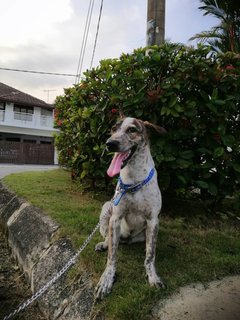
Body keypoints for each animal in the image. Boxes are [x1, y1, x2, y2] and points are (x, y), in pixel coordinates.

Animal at [94, 117, 166, 300]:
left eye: (132, 130)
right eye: (113, 128)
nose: (110, 144)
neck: (134, 180)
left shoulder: (153, 221)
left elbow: (150, 255)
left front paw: (153, 276)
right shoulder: (116, 218)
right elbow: (112, 257)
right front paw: (106, 279)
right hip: (107, 209)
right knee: (109, 239)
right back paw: (104, 244)